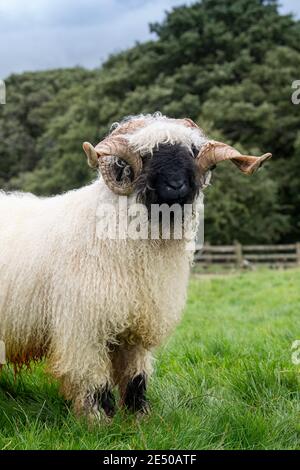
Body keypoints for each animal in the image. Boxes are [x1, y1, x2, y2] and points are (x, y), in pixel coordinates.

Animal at [0, 113, 272, 418]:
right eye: (146, 155)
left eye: (192, 152)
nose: (176, 185)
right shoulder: (84, 326)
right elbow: (92, 377)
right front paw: (99, 418)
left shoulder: (138, 322)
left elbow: (136, 376)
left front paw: (138, 416)